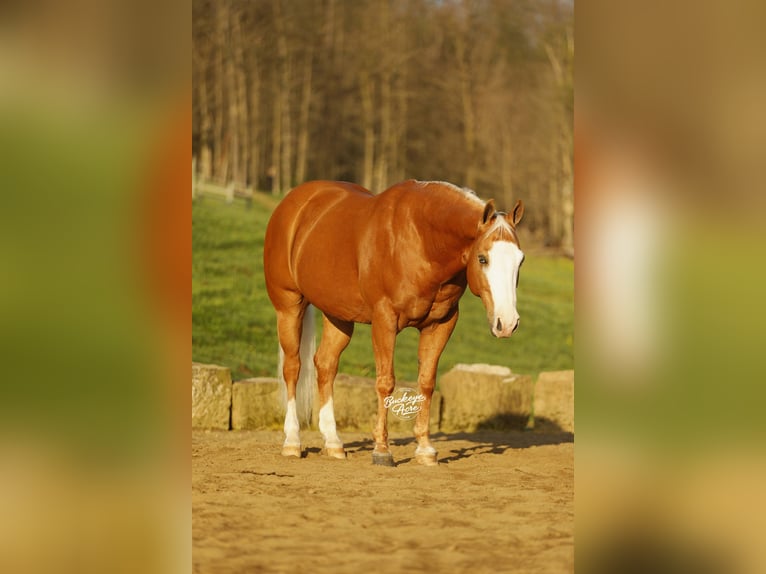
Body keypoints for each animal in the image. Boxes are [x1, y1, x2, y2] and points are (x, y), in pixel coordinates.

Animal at [263, 179, 524, 466]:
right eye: (482, 258)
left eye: (520, 260)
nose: (507, 323)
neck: (421, 241)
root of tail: (295, 202)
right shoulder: (384, 321)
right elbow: (385, 382)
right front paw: (382, 450)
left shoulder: (441, 324)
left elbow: (426, 383)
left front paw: (425, 449)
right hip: (289, 307)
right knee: (292, 368)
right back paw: (292, 441)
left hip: (338, 316)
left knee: (326, 366)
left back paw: (333, 443)